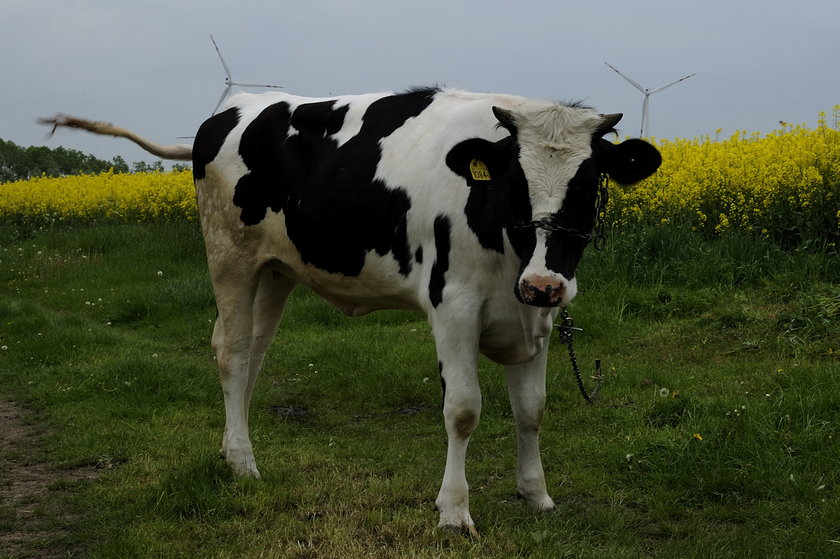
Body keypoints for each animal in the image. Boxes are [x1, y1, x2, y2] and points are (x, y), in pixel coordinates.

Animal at [44, 86, 664, 532]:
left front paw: (536, 495)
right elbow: (463, 410)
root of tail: (233, 108)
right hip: (229, 257)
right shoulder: (453, 306)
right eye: (514, 180)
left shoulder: (535, 318)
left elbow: (532, 410)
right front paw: (453, 511)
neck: (506, 245)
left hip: (276, 271)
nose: (543, 284)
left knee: (252, 355)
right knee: (234, 355)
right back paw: (244, 463)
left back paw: (230, 452)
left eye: (590, 183)